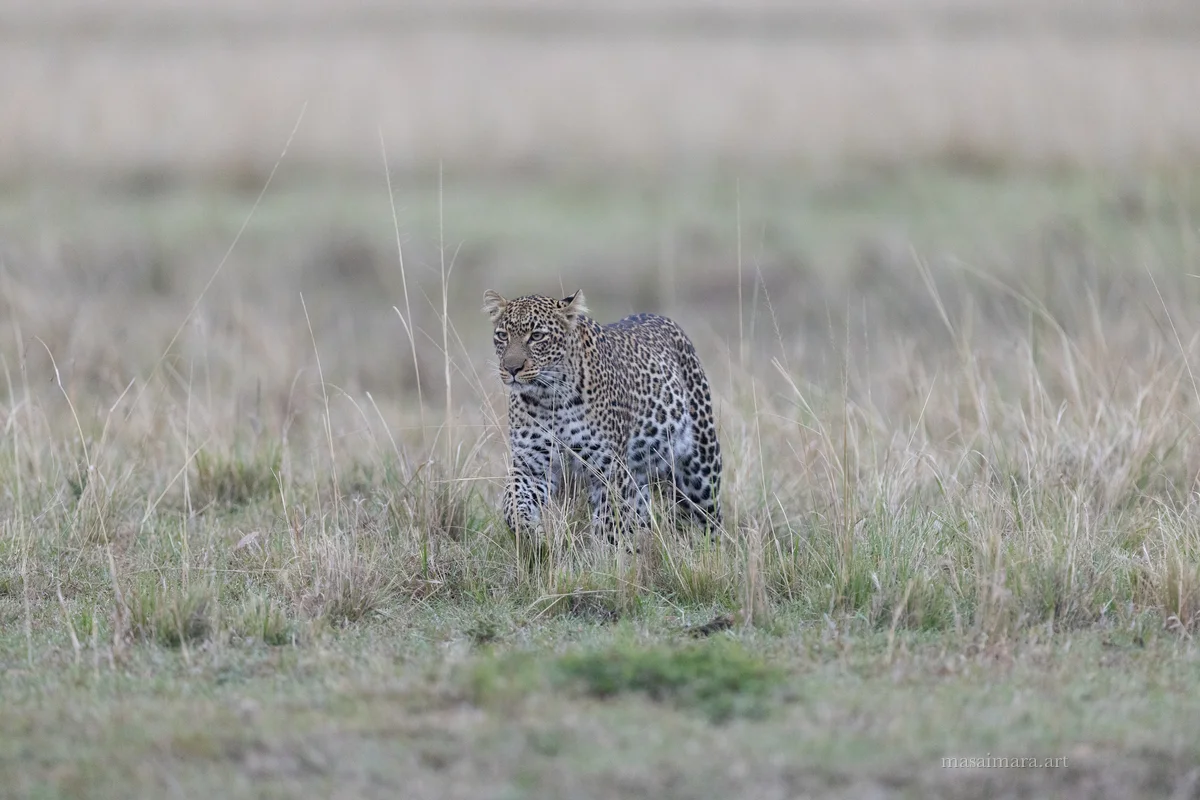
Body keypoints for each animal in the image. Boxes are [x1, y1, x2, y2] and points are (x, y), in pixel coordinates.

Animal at [483, 289, 723, 547]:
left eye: (537, 336)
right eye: (502, 336)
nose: (511, 368)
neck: (549, 398)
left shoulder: (609, 470)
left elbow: (609, 525)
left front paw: (602, 555)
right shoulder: (531, 465)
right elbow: (512, 505)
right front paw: (534, 536)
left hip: (701, 466)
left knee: (709, 519)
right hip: (638, 478)